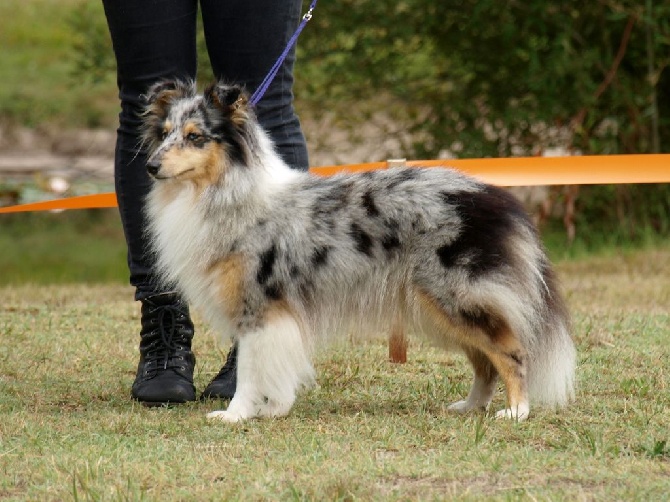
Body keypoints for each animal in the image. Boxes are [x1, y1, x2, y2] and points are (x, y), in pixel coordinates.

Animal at [142, 80, 576, 422]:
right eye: (164, 133)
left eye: (195, 136)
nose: (150, 166)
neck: (226, 190)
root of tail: (493, 197)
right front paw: (272, 408)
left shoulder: (259, 306)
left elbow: (250, 370)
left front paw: (236, 414)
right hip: (440, 309)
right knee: (485, 362)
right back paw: (471, 406)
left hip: (456, 297)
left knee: (511, 352)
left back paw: (516, 411)